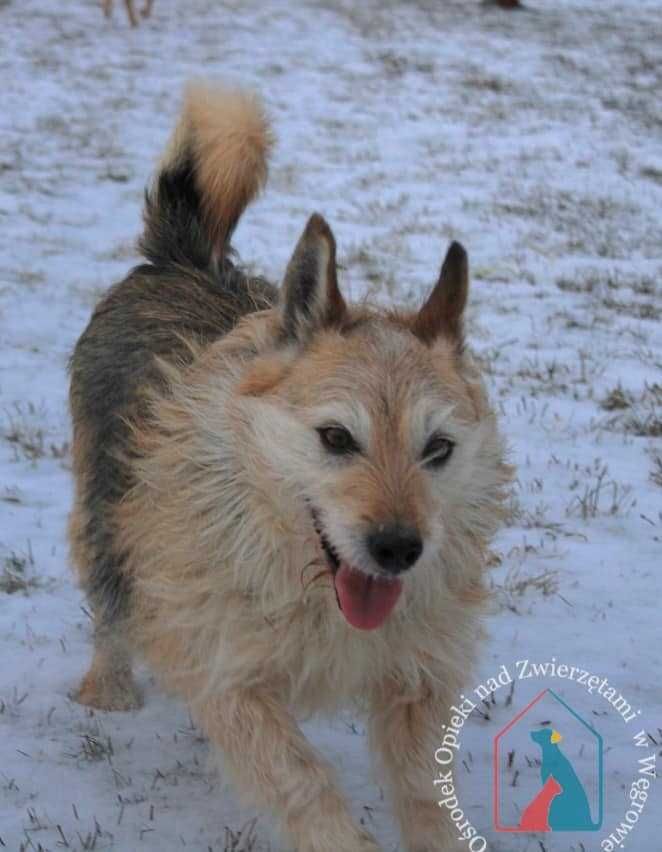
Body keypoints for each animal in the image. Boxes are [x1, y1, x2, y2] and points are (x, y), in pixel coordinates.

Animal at [68, 81, 512, 852]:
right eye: (336, 437)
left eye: (438, 449)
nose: (398, 548)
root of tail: (183, 260)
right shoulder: (232, 677)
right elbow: (301, 779)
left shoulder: (418, 676)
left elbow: (426, 789)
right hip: (107, 506)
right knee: (112, 600)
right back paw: (109, 687)